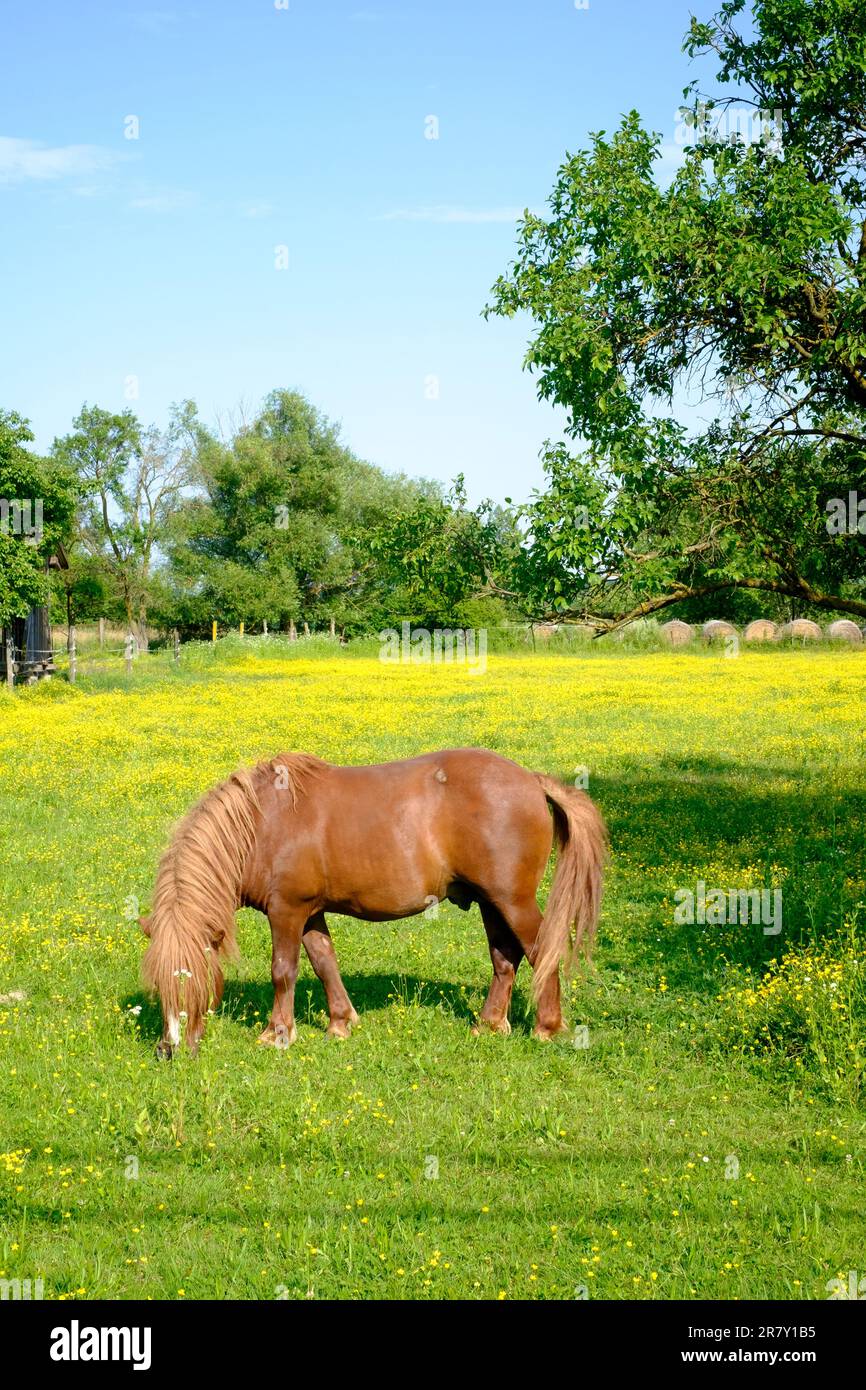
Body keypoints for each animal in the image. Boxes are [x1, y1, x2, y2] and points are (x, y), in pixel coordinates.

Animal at [139, 750, 606, 1050]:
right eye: (158, 982)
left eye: (192, 977)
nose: (169, 1048)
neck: (262, 824)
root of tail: (532, 780)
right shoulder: (311, 913)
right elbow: (324, 962)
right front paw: (340, 1023)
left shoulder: (286, 910)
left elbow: (283, 972)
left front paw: (277, 1034)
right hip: (492, 902)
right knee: (505, 958)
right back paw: (489, 1024)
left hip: (513, 900)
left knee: (541, 951)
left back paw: (547, 1027)